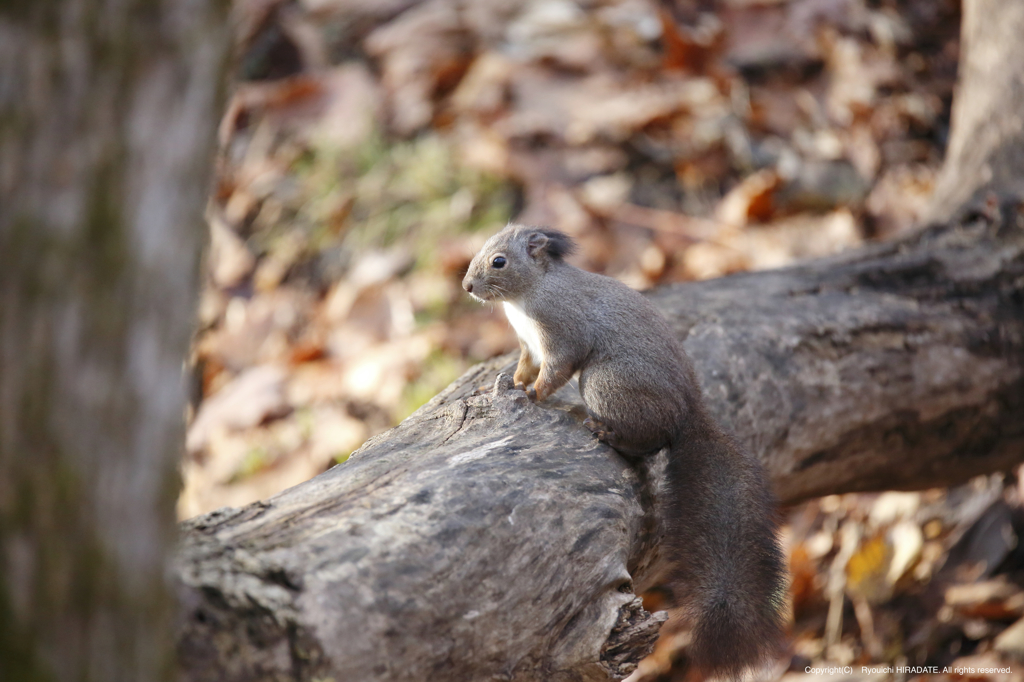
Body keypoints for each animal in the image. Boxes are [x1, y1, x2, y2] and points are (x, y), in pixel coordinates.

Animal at [460, 223, 786, 675]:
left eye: (499, 261)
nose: (466, 286)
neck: (530, 294)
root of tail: (687, 412)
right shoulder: (528, 345)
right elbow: (525, 366)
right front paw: (503, 386)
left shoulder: (561, 335)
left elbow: (553, 373)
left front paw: (531, 395)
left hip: (604, 382)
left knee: (647, 442)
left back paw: (608, 434)